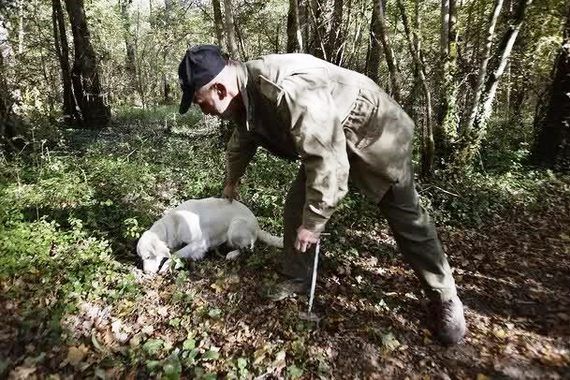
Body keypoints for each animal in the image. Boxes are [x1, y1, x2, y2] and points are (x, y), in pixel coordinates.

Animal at [136, 197, 282, 274]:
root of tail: (257, 226)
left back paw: (231, 254)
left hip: (235, 227)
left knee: (248, 249)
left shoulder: (199, 242)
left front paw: (166, 266)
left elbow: (175, 254)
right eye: (142, 258)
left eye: (148, 257)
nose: (146, 272)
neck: (174, 222)